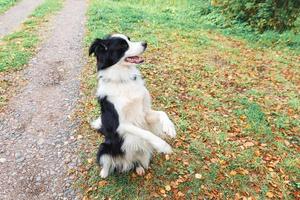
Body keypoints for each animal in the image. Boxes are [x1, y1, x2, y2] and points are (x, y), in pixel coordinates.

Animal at [88, 33, 176, 178]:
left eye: (129, 39)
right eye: (123, 45)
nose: (145, 43)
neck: (123, 81)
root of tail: (126, 161)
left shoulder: (144, 113)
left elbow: (162, 113)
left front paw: (169, 127)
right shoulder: (121, 124)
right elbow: (145, 132)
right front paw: (163, 145)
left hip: (143, 152)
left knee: (137, 161)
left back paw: (139, 168)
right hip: (104, 147)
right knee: (106, 162)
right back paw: (104, 173)